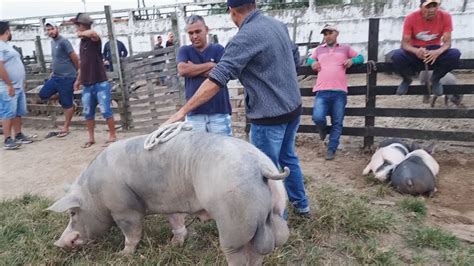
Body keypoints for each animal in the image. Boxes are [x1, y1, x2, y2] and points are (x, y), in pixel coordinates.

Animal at [49, 131, 292, 266]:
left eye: (73, 212)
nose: (57, 243)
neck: (94, 193)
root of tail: (262, 167)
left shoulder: (124, 209)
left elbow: (132, 233)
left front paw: (122, 255)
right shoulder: (170, 203)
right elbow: (177, 222)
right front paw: (174, 244)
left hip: (233, 221)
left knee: (239, 254)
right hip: (275, 209)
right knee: (263, 248)